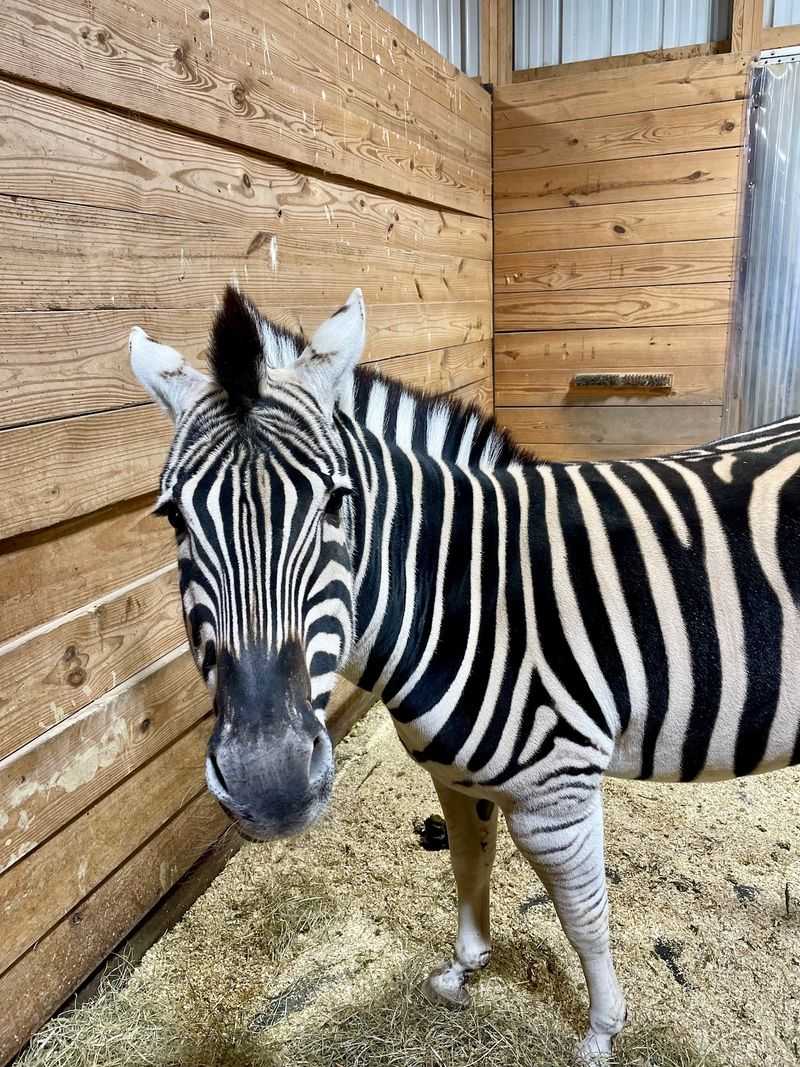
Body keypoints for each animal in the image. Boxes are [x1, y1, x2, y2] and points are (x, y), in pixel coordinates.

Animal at [130, 285, 800, 1063]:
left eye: (336, 502)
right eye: (174, 518)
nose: (270, 784)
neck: (470, 593)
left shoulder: (556, 795)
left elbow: (584, 915)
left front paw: (602, 1029)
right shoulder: (455, 776)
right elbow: (468, 865)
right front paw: (463, 969)